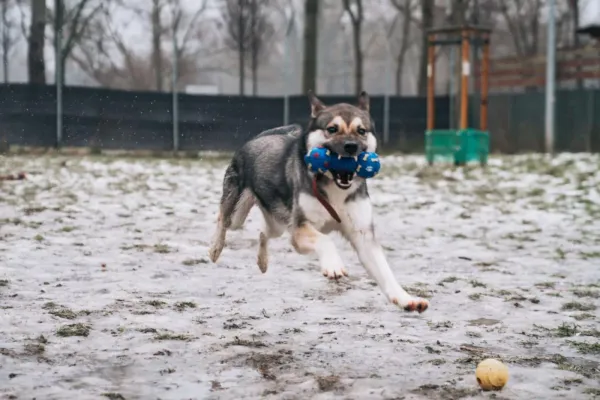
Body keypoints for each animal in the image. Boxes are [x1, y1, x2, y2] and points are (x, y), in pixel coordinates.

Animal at [209, 90, 428, 312]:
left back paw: (262, 262)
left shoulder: (362, 234)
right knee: (223, 218)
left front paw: (406, 298)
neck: (335, 189)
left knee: (263, 233)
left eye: (361, 131)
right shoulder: (299, 230)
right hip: (238, 214)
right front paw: (333, 265)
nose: (351, 147)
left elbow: (385, 271)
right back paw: (215, 249)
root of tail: (258, 137)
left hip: (278, 222)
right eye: (332, 129)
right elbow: (325, 240)